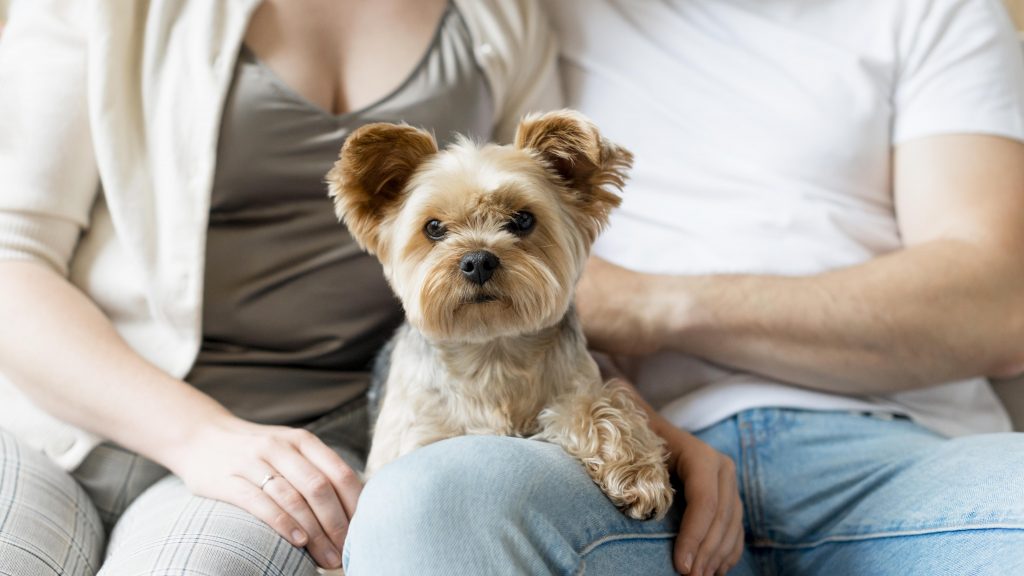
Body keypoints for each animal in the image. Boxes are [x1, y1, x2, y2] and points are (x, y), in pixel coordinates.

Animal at [325, 109, 671, 518]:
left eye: (523, 219)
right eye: (434, 227)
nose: (477, 261)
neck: (492, 349)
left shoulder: (577, 384)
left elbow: (599, 404)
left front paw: (637, 472)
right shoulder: (411, 433)